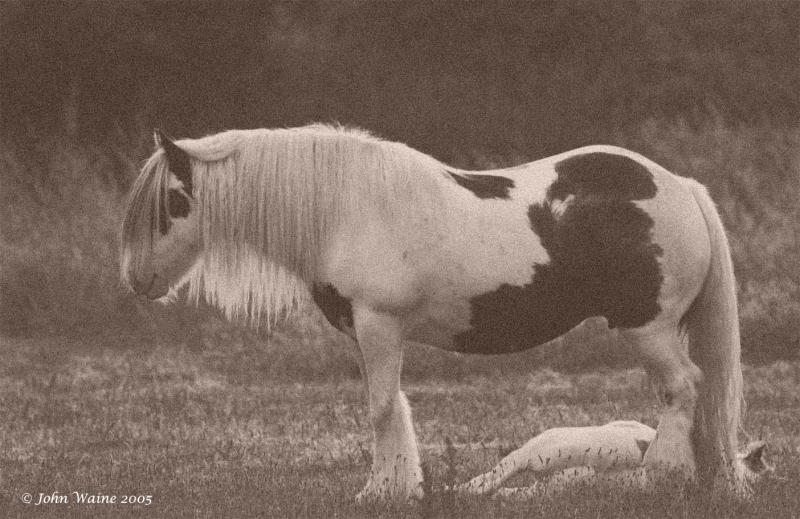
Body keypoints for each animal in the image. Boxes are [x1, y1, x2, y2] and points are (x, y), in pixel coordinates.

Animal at [120, 124, 752, 502]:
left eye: (173, 202)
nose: (137, 280)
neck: (346, 208)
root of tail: (680, 187)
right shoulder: (367, 332)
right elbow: (391, 404)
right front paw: (402, 487)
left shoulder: (379, 322)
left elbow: (379, 408)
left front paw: (379, 492)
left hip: (650, 328)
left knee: (683, 389)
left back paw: (658, 478)